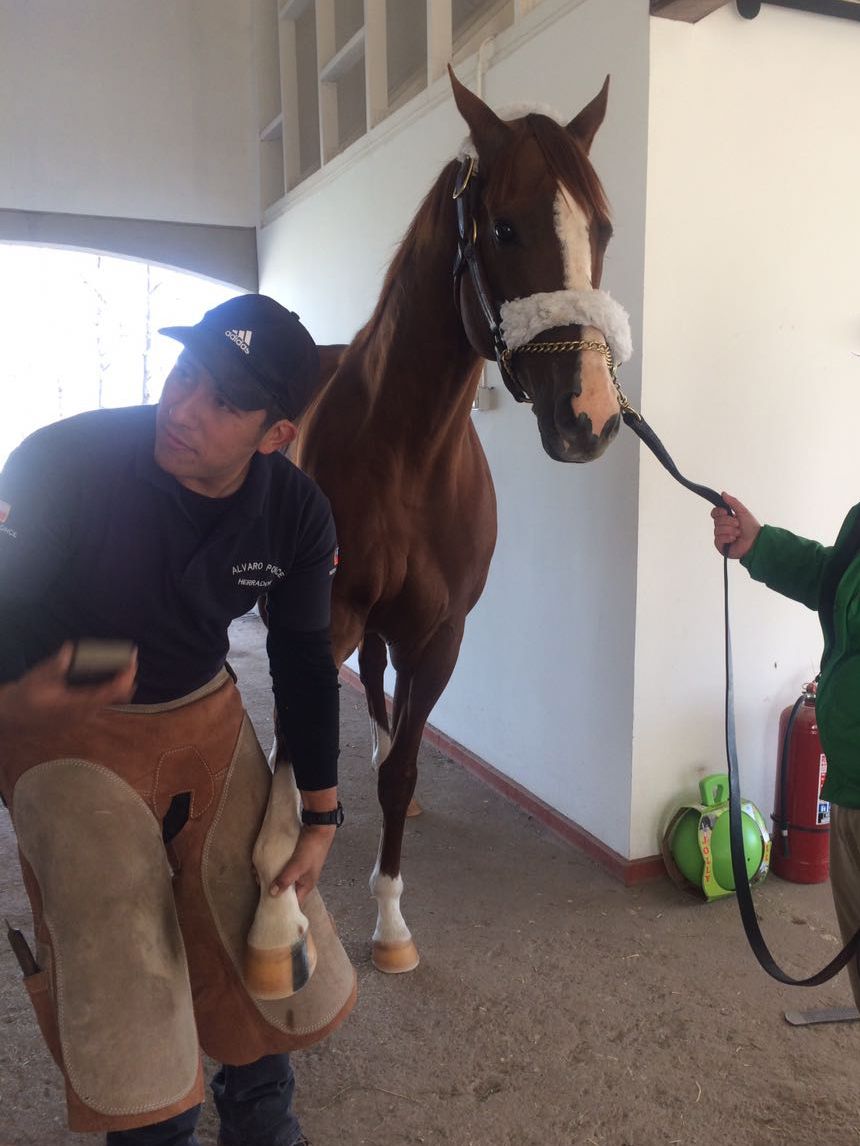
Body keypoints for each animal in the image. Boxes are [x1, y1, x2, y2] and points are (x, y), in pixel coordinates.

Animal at [292, 68, 632, 974]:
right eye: (505, 226)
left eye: (603, 228)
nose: (590, 417)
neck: (404, 453)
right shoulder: (326, 619)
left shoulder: (439, 635)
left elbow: (404, 771)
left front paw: (390, 923)